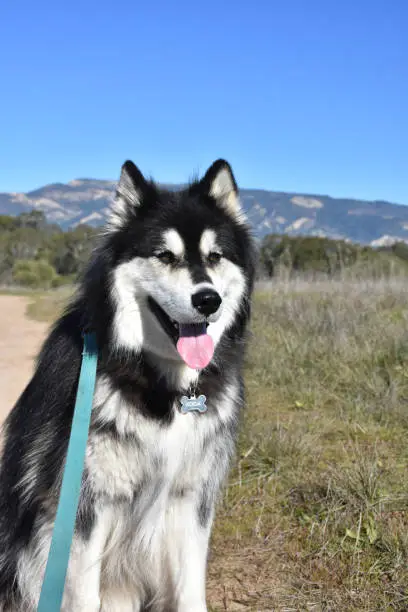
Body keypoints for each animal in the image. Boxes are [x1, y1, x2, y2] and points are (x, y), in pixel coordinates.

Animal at [0, 160, 255, 608]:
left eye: (215, 256)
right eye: (165, 256)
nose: (208, 300)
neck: (165, 384)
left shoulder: (190, 498)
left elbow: (190, 592)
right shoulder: (85, 506)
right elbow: (84, 597)